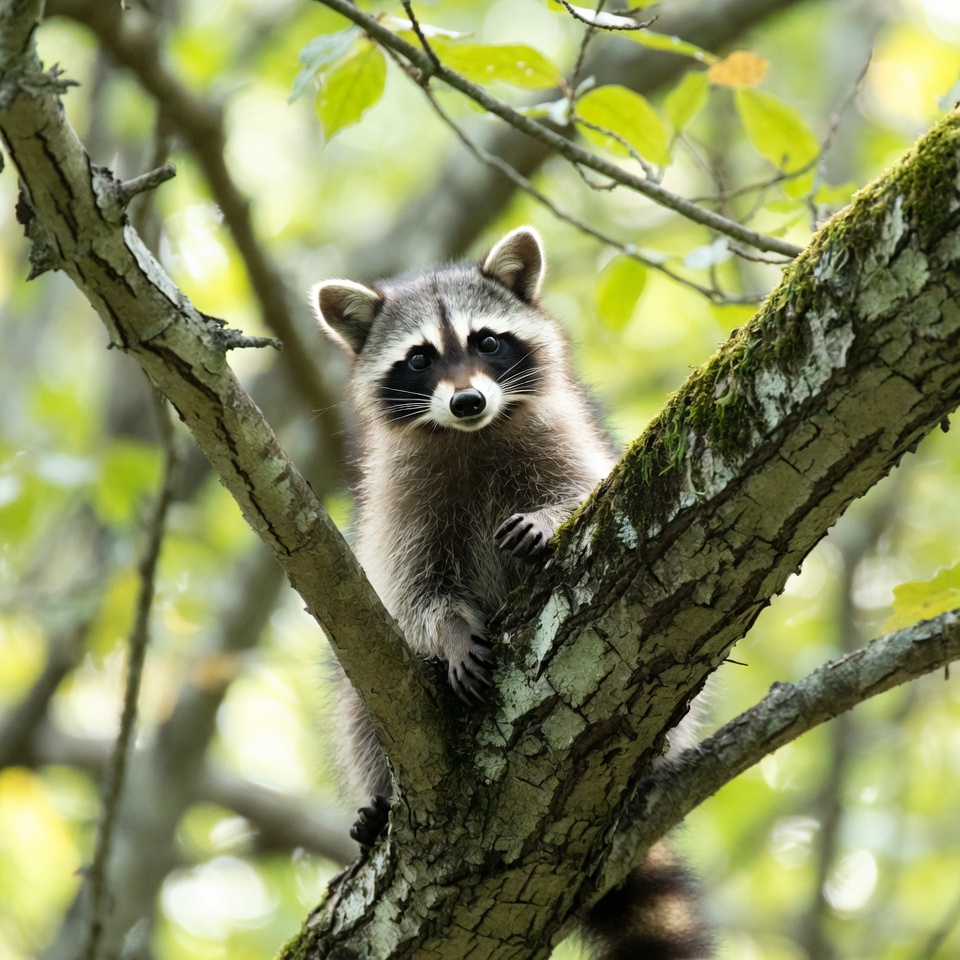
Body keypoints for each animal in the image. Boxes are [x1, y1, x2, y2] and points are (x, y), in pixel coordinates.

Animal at [312, 227, 712, 959]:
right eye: (419, 358)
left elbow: (585, 487)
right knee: (360, 703)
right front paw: (449, 631)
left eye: (488, 342)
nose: (468, 401)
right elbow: (412, 588)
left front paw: (548, 521)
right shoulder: (399, 497)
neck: (471, 435)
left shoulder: (566, 439)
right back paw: (380, 803)